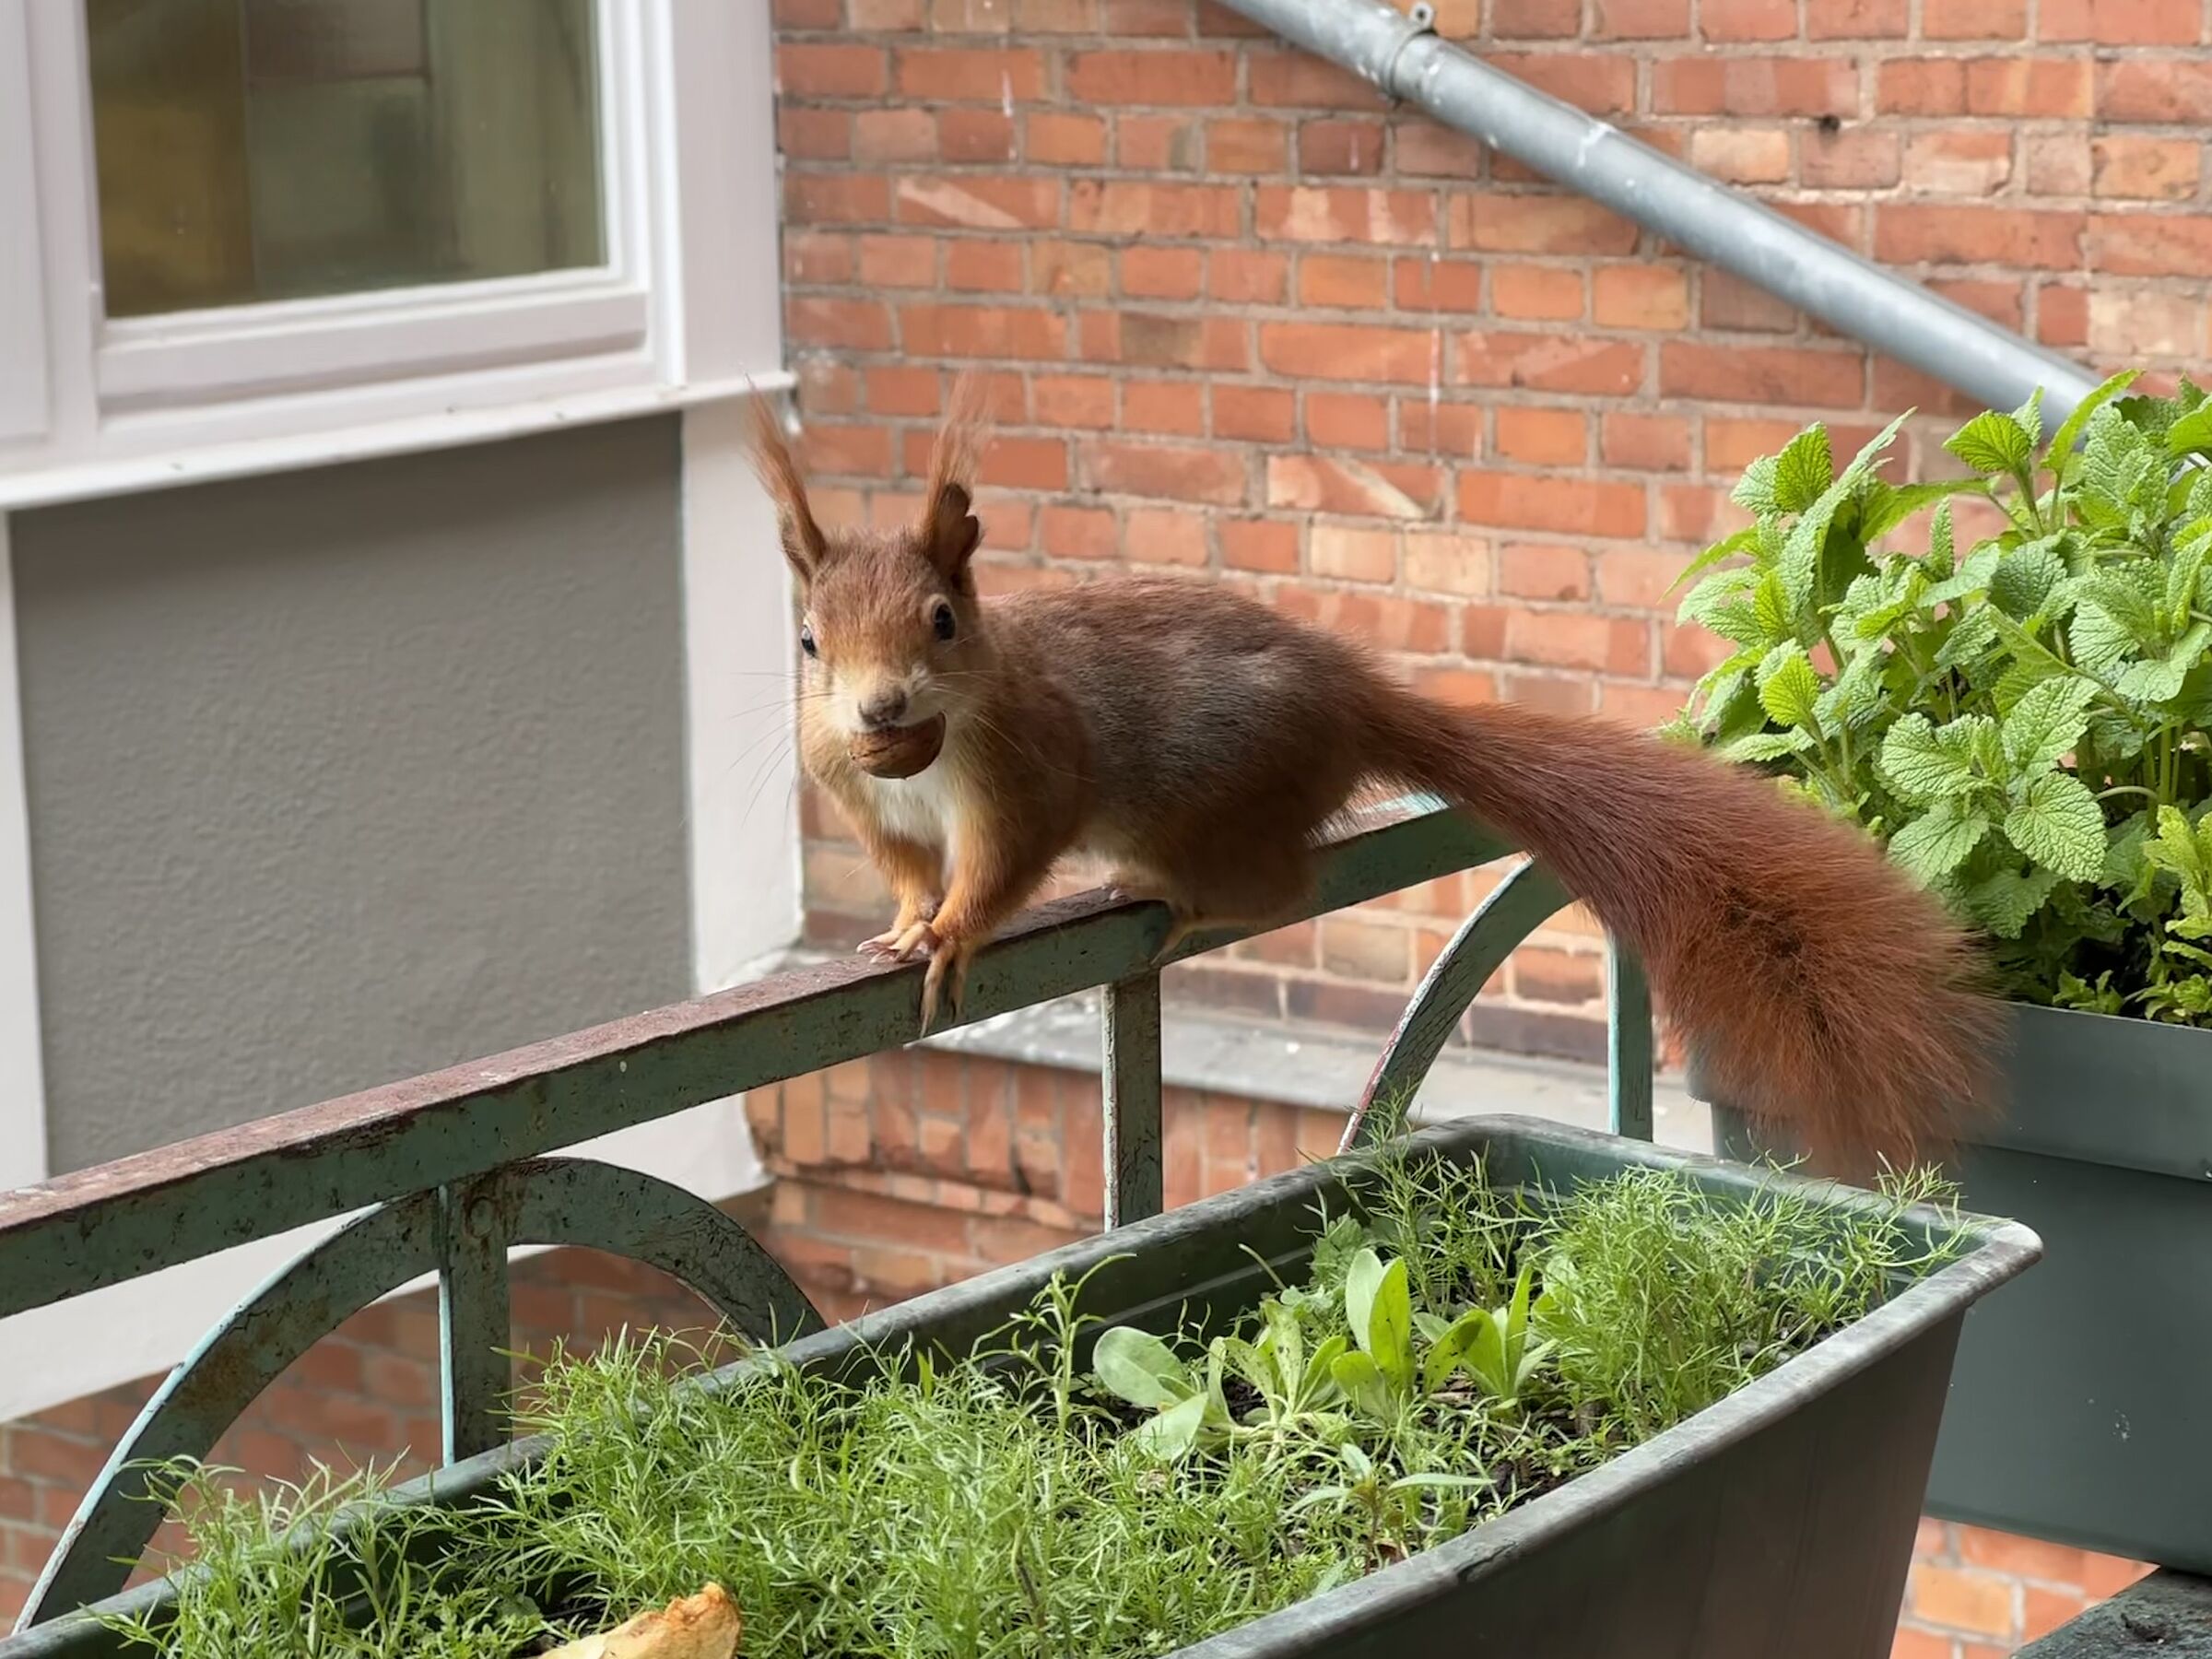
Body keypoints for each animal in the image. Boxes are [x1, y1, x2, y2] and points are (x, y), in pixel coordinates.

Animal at [752, 382, 1999, 1176]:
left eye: (943, 621)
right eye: (808, 641)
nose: (879, 709)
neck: (929, 747)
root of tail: (1355, 704)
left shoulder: (1025, 769)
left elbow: (1002, 866)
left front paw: (955, 934)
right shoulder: (861, 792)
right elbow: (906, 869)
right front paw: (904, 925)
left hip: (1205, 807)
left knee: (1277, 887)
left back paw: (1185, 907)